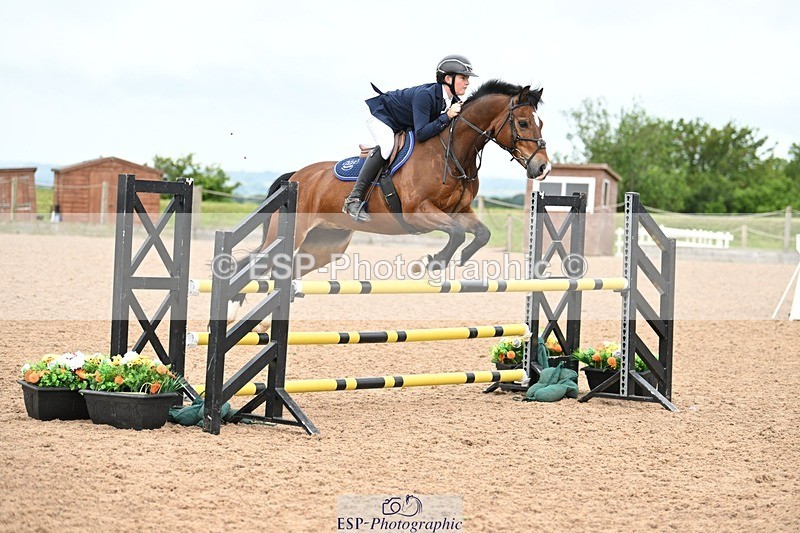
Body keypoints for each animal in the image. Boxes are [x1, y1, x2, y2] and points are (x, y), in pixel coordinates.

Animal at [229, 80, 551, 323]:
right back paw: (232, 307)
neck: (452, 151)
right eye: (523, 123)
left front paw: (459, 259)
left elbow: (481, 233)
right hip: (293, 234)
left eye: (540, 122)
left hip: (326, 245)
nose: (543, 168)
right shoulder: (417, 212)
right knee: (255, 263)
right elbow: (457, 233)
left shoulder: (460, 210)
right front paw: (432, 263)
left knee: (287, 268)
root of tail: (296, 176)